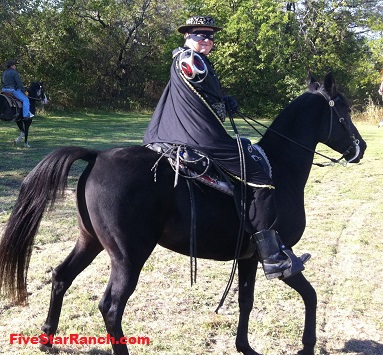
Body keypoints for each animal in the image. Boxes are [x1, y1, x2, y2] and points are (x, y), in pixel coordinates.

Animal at [0, 73, 368, 355]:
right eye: (345, 111)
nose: (360, 147)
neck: (281, 168)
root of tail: (97, 157)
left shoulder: (250, 257)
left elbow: (245, 300)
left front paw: (245, 347)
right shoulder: (281, 257)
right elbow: (311, 295)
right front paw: (307, 346)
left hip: (90, 241)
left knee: (61, 277)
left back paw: (46, 339)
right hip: (128, 256)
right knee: (111, 307)